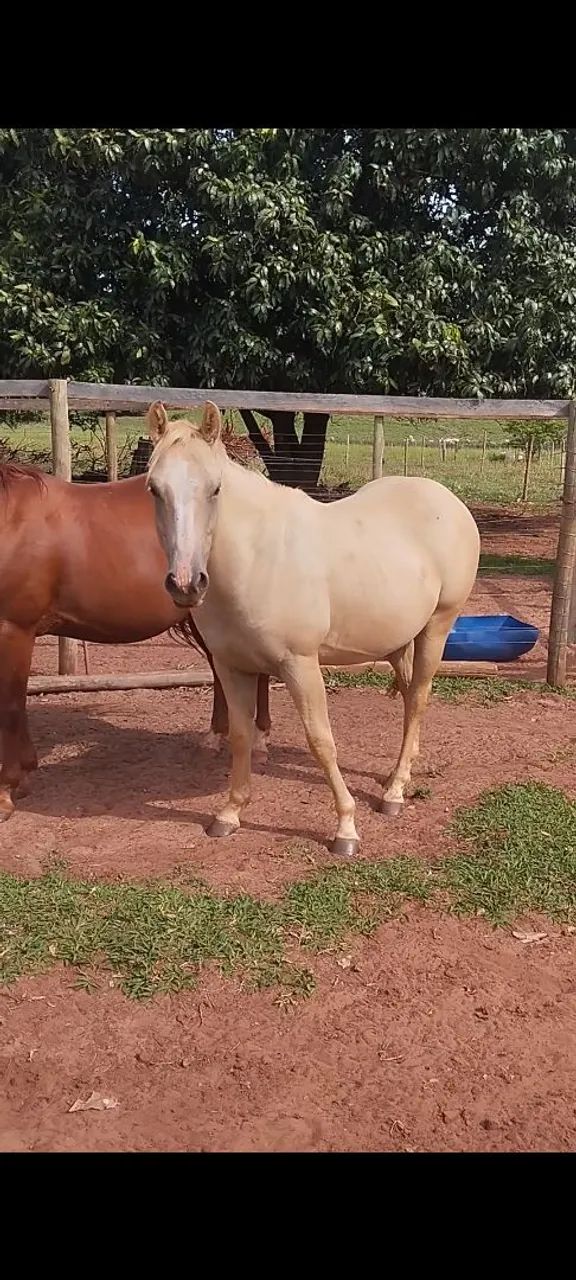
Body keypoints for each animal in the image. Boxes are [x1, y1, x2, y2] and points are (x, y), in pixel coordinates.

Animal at [0, 463, 271, 821]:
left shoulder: (14, 628)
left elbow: (10, 706)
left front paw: (7, 789)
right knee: (219, 670)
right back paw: (214, 737)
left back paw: (260, 741)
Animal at [146, 400, 480, 856]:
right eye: (153, 488)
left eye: (215, 489)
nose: (185, 584)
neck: (256, 557)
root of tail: (446, 499)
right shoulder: (232, 667)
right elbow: (240, 735)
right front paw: (229, 814)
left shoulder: (300, 665)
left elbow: (321, 741)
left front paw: (346, 829)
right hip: (398, 640)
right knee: (410, 694)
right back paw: (401, 774)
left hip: (438, 627)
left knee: (418, 701)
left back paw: (393, 792)